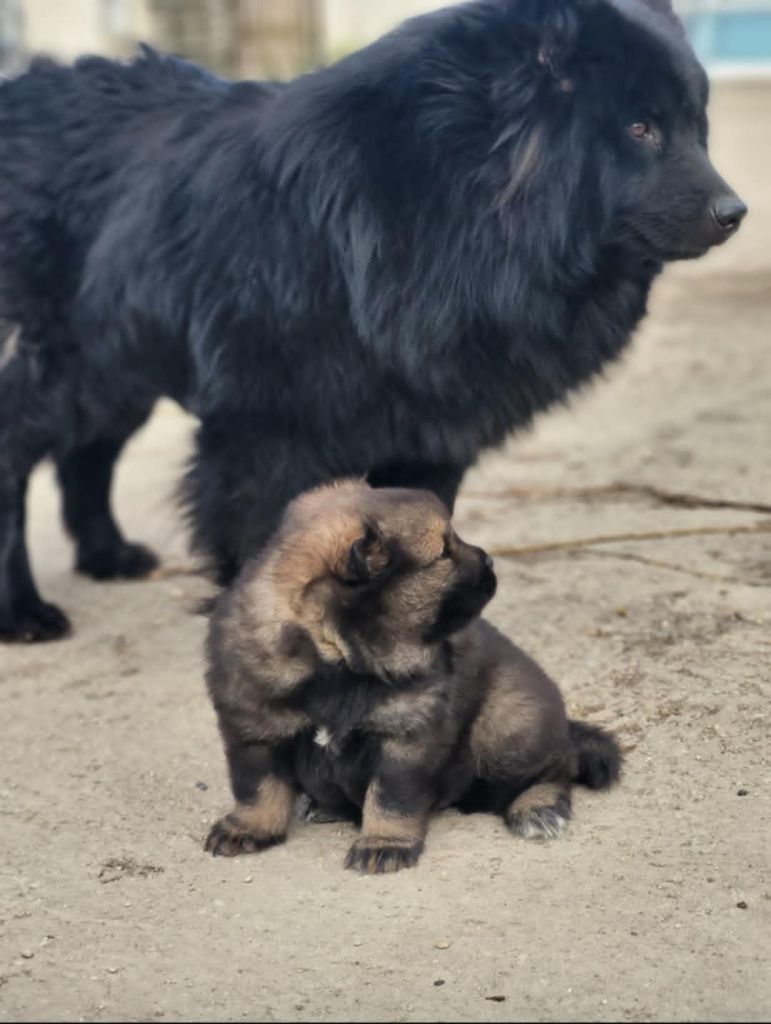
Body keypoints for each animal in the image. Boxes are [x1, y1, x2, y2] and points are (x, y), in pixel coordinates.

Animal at [0, 0, 745, 638]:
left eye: (695, 128)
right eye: (640, 128)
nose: (734, 212)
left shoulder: (430, 430)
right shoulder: (262, 433)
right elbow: (261, 546)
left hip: (116, 373)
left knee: (86, 454)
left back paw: (107, 556)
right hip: (66, 369)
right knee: (22, 454)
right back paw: (22, 612)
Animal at [204, 479, 618, 872]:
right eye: (444, 552)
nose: (490, 560)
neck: (334, 658)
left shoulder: (407, 736)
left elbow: (391, 796)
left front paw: (384, 843)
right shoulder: (254, 727)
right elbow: (257, 787)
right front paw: (247, 827)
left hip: (507, 725)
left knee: (556, 765)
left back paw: (538, 807)